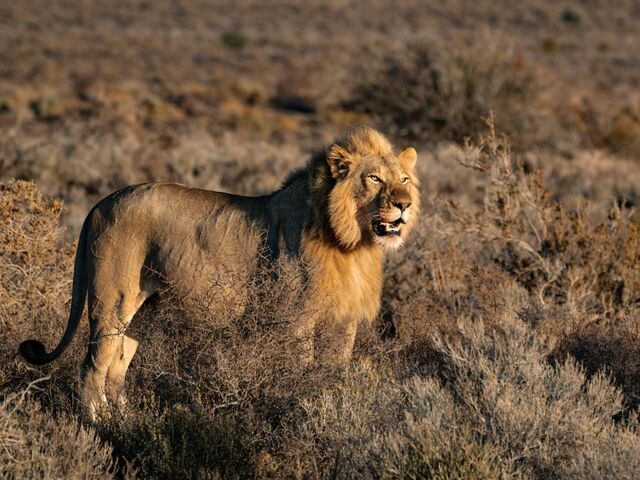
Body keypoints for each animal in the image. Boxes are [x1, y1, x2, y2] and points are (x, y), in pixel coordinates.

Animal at [18, 125, 420, 418]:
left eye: (403, 179)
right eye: (374, 179)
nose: (404, 205)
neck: (353, 244)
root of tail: (99, 204)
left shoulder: (344, 321)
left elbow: (334, 372)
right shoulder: (297, 319)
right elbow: (302, 371)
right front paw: (302, 408)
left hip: (144, 311)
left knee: (117, 369)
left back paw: (127, 422)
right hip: (112, 301)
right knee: (91, 367)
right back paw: (99, 426)